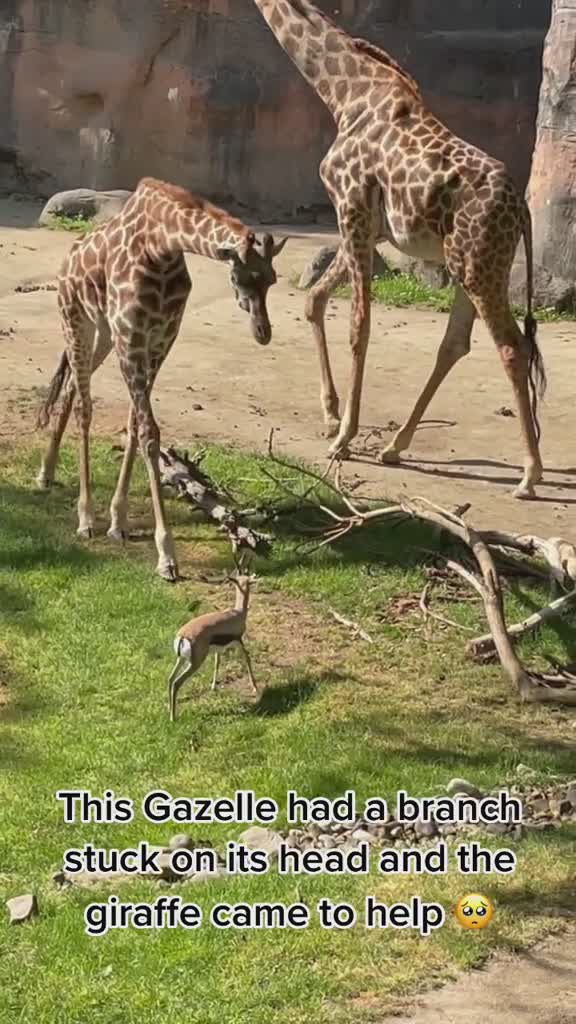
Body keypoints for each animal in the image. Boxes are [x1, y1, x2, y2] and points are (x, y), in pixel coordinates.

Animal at [36, 175, 286, 577]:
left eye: (272, 279)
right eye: (243, 276)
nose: (262, 333)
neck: (163, 247)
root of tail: (69, 256)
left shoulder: (161, 338)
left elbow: (135, 427)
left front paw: (119, 521)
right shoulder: (132, 337)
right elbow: (149, 432)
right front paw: (166, 553)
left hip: (102, 333)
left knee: (74, 385)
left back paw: (46, 473)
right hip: (75, 320)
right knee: (85, 406)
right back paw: (84, 516)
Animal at [250, 0, 541, 495]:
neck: (343, 93)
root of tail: (522, 210)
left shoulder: (350, 207)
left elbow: (358, 325)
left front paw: (343, 438)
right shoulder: (371, 228)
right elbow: (315, 299)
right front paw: (331, 415)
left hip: (480, 267)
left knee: (511, 348)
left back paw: (529, 474)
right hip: (468, 266)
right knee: (455, 344)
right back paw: (395, 446)